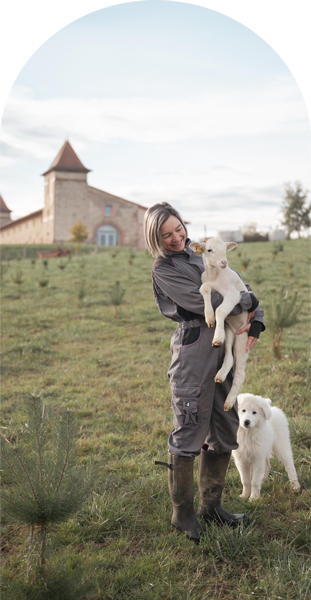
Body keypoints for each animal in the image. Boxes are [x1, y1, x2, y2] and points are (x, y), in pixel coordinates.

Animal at [191, 238, 252, 412]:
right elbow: (204, 289)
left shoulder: (234, 295)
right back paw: (219, 376)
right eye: (209, 250)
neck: (215, 276)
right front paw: (209, 317)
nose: (224, 262)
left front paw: (216, 335)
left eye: (225, 249)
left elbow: (220, 310)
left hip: (243, 338)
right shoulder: (206, 284)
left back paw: (229, 401)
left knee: (240, 372)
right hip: (230, 332)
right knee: (229, 357)